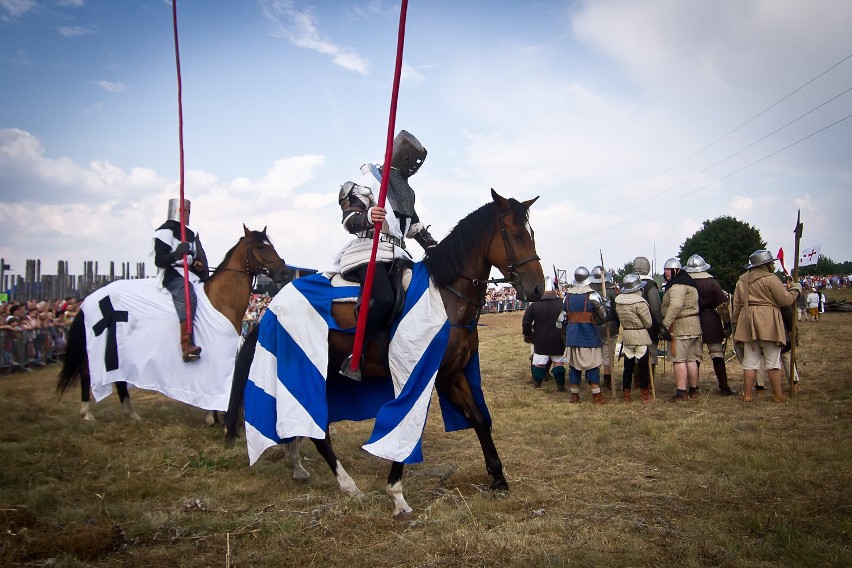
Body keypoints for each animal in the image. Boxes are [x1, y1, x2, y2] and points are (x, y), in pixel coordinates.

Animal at [59, 226, 290, 422]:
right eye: (261, 247)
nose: (284, 272)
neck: (220, 299)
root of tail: (89, 298)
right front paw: (217, 417)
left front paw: (213, 417)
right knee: (86, 372)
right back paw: (87, 413)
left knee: (119, 379)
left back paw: (131, 414)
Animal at [226, 190, 544, 516]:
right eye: (517, 234)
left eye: (530, 233)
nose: (537, 288)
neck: (445, 298)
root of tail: (271, 307)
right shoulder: (420, 375)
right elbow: (405, 427)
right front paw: (397, 493)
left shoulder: (452, 375)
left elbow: (479, 419)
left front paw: (498, 478)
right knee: (320, 430)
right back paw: (348, 485)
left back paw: (297, 466)